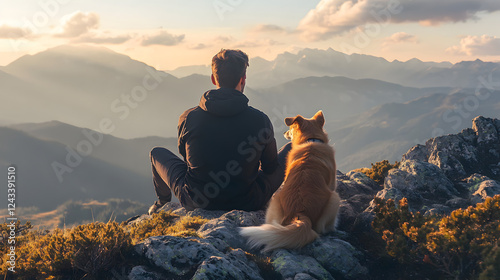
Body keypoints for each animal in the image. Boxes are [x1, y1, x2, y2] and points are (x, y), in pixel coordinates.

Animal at [240, 111, 342, 252]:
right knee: (322, 229)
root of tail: (299, 213)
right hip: (334, 198)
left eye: (291, 128)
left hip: (274, 202)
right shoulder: (332, 185)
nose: (284, 132)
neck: (311, 140)